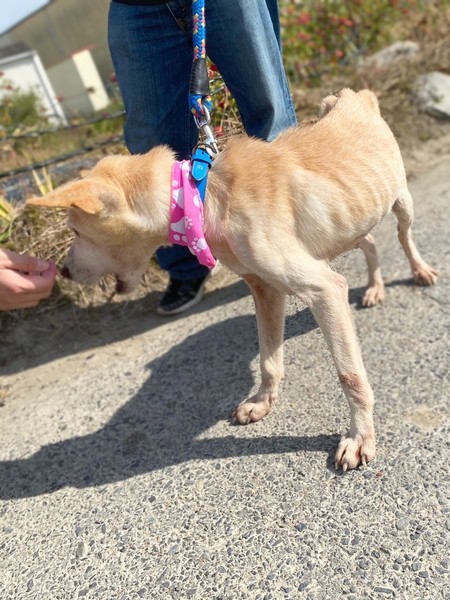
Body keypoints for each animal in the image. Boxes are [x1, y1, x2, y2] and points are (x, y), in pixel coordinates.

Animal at [27, 89, 437, 471]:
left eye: (75, 231)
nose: (63, 271)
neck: (205, 195)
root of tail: (354, 95)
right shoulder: (265, 289)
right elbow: (269, 360)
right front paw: (261, 402)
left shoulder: (323, 289)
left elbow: (350, 376)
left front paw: (360, 437)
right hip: (350, 226)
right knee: (370, 243)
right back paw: (374, 287)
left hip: (401, 203)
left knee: (403, 237)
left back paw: (419, 271)